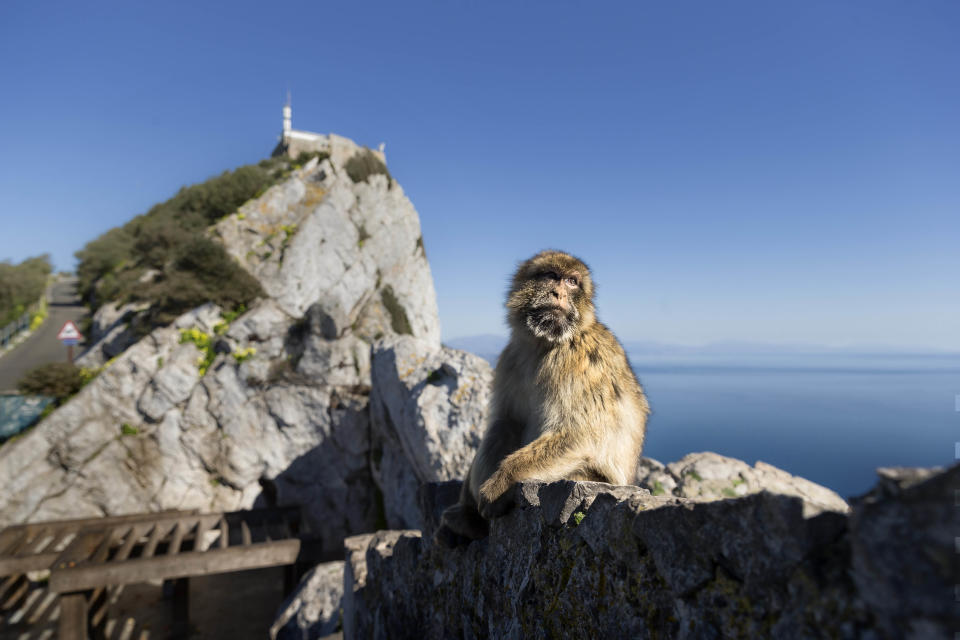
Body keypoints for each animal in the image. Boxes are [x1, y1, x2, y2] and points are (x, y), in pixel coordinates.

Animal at [436, 250, 648, 544]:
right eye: (551, 276)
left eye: (572, 281)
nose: (559, 293)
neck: (545, 343)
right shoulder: (511, 357)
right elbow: (507, 421)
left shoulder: (579, 361)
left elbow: (579, 433)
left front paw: (501, 482)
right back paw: (467, 520)